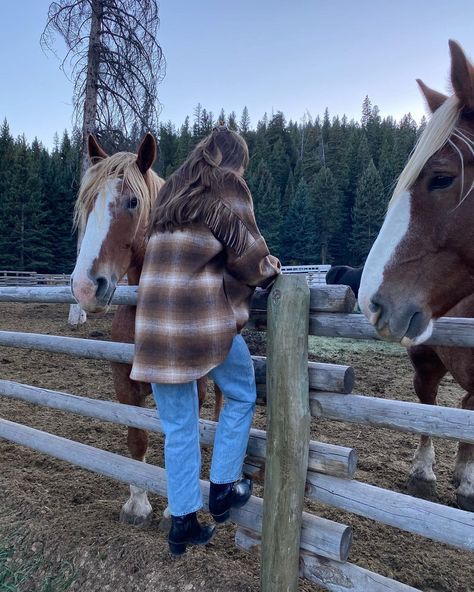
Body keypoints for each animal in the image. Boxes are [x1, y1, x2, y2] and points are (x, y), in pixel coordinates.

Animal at [71, 135, 222, 528]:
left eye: (133, 201)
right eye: (86, 202)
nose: (85, 288)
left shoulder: (192, 385)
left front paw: (175, 511)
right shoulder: (124, 384)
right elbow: (136, 438)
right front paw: (137, 505)